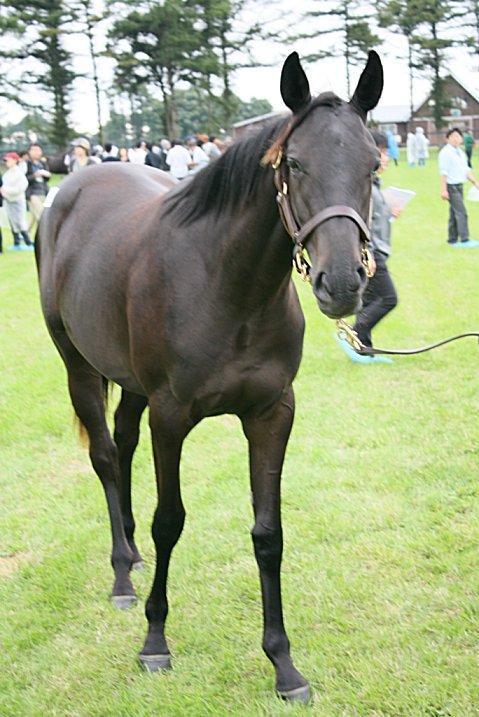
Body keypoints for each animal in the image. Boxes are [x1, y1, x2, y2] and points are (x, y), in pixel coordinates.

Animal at [35, 53, 384, 704]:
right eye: (295, 164)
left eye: (373, 164)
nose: (343, 282)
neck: (226, 286)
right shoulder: (172, 415)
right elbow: (169, 521)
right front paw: (155, 642)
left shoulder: (271, 413)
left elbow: (268, 533)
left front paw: (283, 665)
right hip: (79, 365)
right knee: (104, 456)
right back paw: (122, 575)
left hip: (131, 385)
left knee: (123, 446)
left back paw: (131, 554)